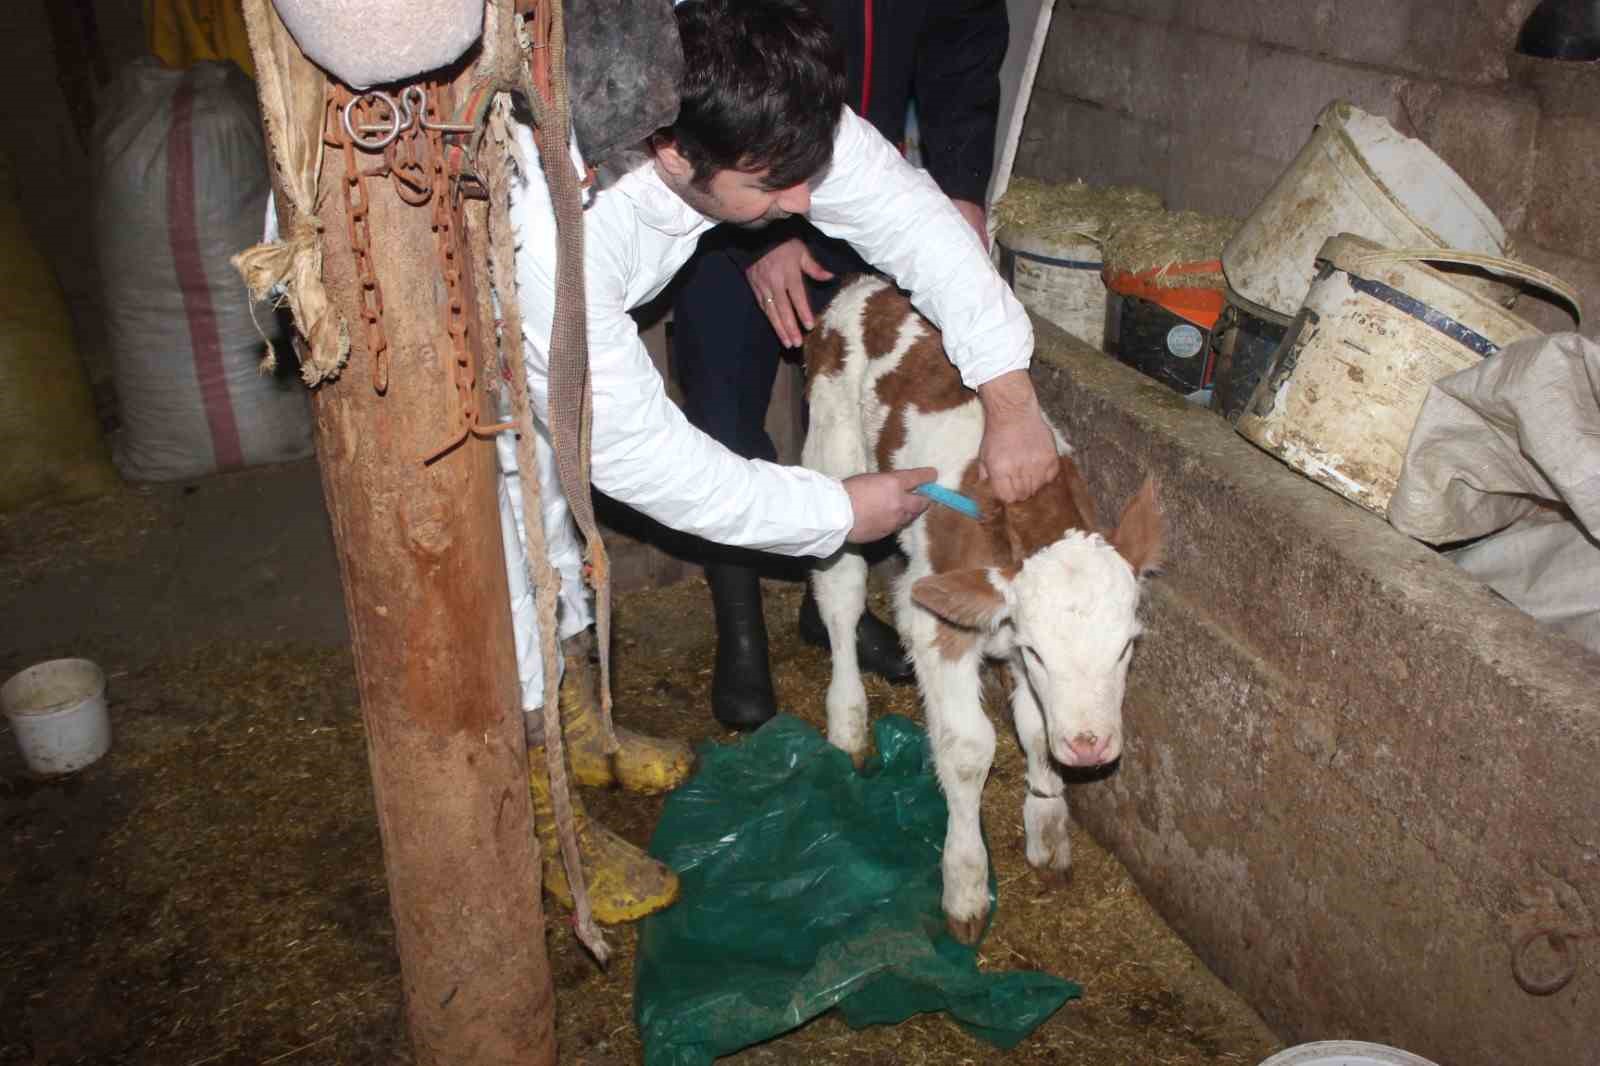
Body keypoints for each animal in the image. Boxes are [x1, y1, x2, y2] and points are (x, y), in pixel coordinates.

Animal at [800, 272, 1164, 941]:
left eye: (1127, 645)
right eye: (1041, 652)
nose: (1091, 747)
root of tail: (867, 286)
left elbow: (1036, 732)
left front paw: (1048, 831)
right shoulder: (935, 623)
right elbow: (970, 751)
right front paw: (967, 884)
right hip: (836, 461)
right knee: (839, 593)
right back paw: (848, 722)